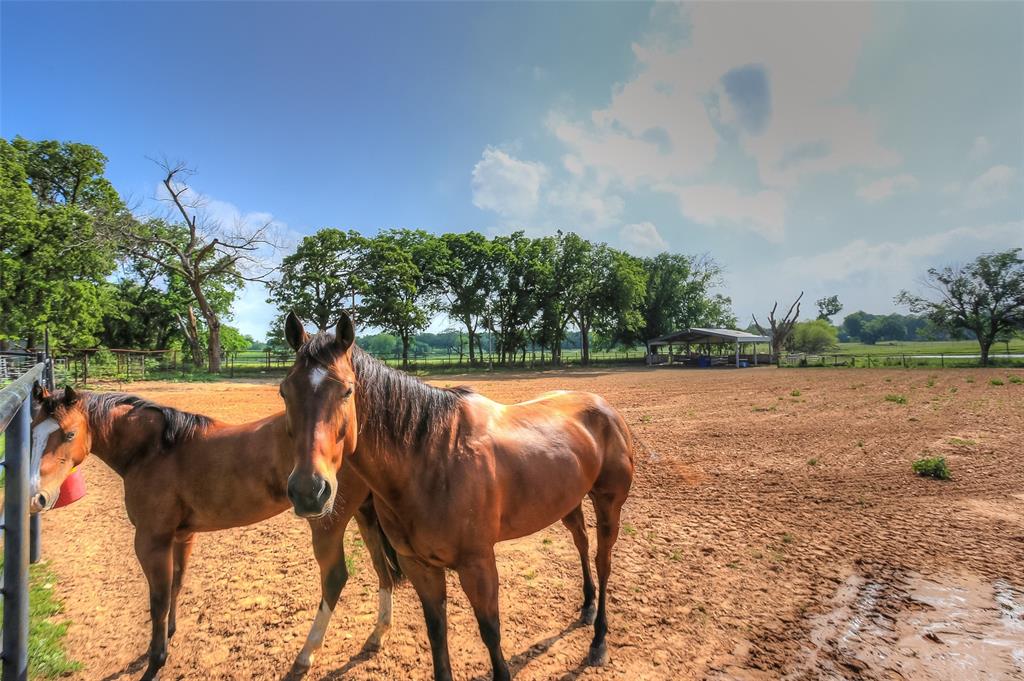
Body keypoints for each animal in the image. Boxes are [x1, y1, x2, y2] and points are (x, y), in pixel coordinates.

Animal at [29, 385, 403, 675]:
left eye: (69, 434)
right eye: (32, 434)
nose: (37, 497)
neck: (155, 450)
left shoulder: (151, 542)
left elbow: (158, 600)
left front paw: (156, 660)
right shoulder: (181, 536)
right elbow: (176, 585)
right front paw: (169, 635)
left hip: (327, 522)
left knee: (335, 578)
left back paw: (305, 656)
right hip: (366, 515)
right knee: (382, 570)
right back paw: (376, 637)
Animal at [280, 311, 630, 679]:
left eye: (347, 391)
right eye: (285, 392)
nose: (309, 491)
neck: (433, 458)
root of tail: (603, 407)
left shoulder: (477, 563)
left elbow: (490, 632)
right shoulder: (419, 566)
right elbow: (437, 633)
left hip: (609, 504)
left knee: (603, 561)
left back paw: (598, 641)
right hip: (568, 501)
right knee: (581, 542)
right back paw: (587, 606)